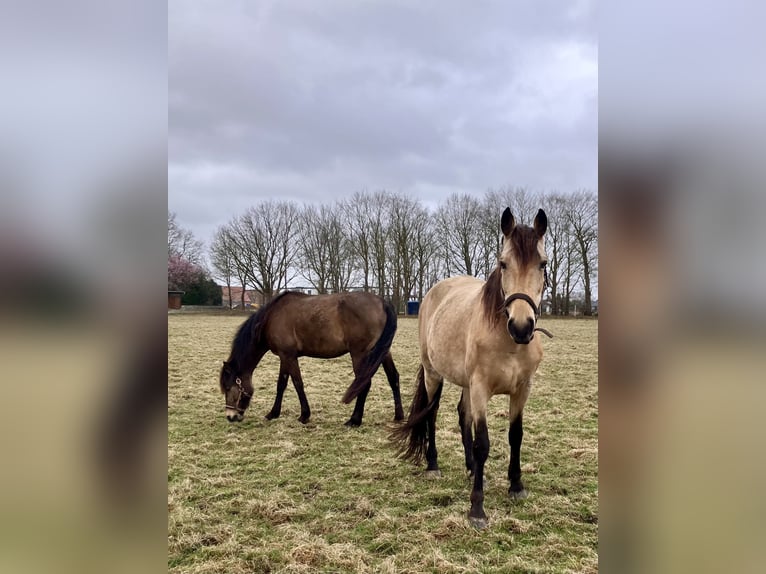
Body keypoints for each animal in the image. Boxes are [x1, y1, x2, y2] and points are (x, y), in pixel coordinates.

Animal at [219, 291, 405, 427]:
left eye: (228, 387)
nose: (230, 416)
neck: (271, 317)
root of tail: (382, 302)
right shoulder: (284, 357)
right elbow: (281, 385)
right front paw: (273, 413)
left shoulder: (289, 356)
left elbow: (297, 384)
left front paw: (304, 415)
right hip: (383, 352)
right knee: (393, 378)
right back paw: (398, 416)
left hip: (359, 354)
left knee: (364, 383)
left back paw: (354, 420)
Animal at [389, 207, 549, 529]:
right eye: (503, 263)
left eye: (543, 264)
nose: (522, 326)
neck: (508, 340)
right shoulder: (480, 389)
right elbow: (482, 443)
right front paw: (477, 508)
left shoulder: (522, 390)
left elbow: (515, 435)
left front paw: (516, 486)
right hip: (434, 374)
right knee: (432, 414)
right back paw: (433, 464)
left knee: (462, 417)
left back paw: (471, 469)